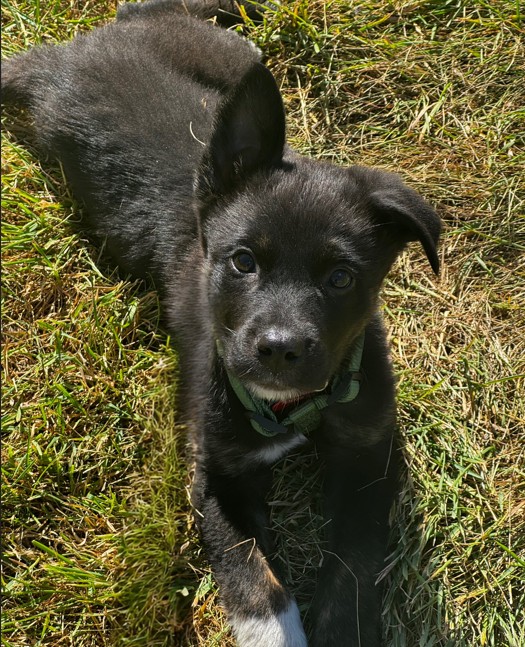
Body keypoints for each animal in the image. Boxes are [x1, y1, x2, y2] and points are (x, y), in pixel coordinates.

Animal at [1, 1, 441, 645]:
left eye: (341, 278)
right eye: (242, 261)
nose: (279, 350)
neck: (292, 406)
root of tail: (72, 51)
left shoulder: (369, 461)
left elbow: (354, 571)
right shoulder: (216, 476)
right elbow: (256, 585)